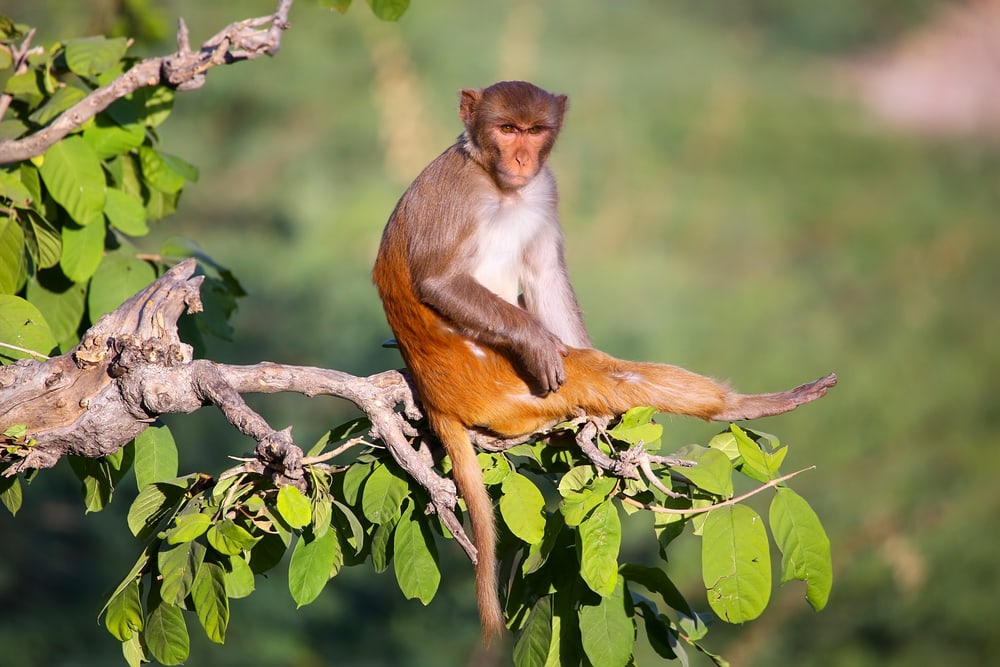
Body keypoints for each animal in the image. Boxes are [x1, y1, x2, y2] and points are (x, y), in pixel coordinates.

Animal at [372, 80, 836, 644]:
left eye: (534, 131)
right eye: (506, 129)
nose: (522, 158)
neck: (501, 187)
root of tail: (437, 398)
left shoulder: (544, 189)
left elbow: (545, 275)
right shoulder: (457, 194)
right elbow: (439, 281)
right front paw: (539, 341)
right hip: (501, 385)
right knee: (604, 374)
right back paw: (739, 406)